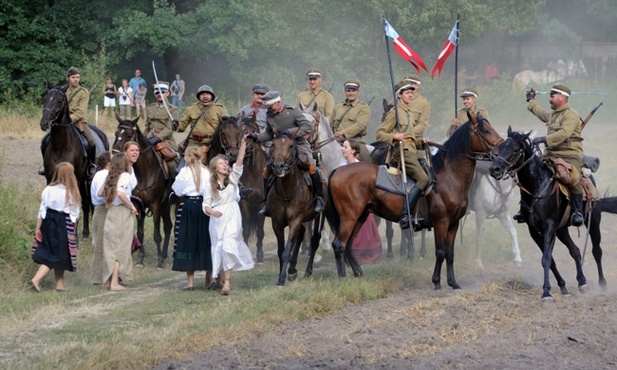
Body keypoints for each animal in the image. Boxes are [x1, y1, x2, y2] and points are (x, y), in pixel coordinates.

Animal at [39, 83, 108, 237]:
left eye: (60, 101)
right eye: (45, 98)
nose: (44, 123)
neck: (60, 145)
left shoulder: (75, 178)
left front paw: (74, 233)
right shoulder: (50, 177)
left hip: (88, 178)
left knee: (87, 202)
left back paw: (86, 231)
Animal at [111, 114, 172, 268]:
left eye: (128, 135)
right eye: (116, 133)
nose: (114, 152)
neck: (145, 172)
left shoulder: (155, 206)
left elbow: (157, 235)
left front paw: (159, 262)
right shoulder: (138, 206)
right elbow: (140, 233)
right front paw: (141, 259)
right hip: (165, 206)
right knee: (169, 226)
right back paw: (164, 255)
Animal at [268, 131, 324, 286]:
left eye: (291, 146)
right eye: (273, 144)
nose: (278, 166)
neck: (287, 191)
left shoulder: (295, 221)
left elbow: (287, 251)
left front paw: (281, 279)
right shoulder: (277, 223)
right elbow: (281, 250)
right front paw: (282, 273)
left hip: (319, 216)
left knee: (315, 240)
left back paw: (308, 271)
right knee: (302, 234)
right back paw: (292, 270)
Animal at [324, 112, 502, 290]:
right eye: (486, 130)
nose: (500, 149)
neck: (449, 178)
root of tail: (337, 171)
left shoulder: (453, 223)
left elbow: (450, 254)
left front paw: (453, 282)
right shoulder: (441, 222)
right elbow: (440, 252)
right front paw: (437, 282)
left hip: (361, 216)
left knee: (348, 244)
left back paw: (358, 273)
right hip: (349, 216)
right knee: (339, 244)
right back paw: (342, 277)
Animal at [486, 129, 616, 300]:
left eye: (515, 149)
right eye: (500, 148)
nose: (495, 169)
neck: (537, 186)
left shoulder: (549, 226)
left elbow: (546, 258)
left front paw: (546, 292)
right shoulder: (534, 230)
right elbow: (550, 259)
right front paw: (563, 287)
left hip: (593, 222)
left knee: (596, 251)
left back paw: (602, 284)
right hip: (562, 230)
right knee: (575, 251)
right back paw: (582, 282)